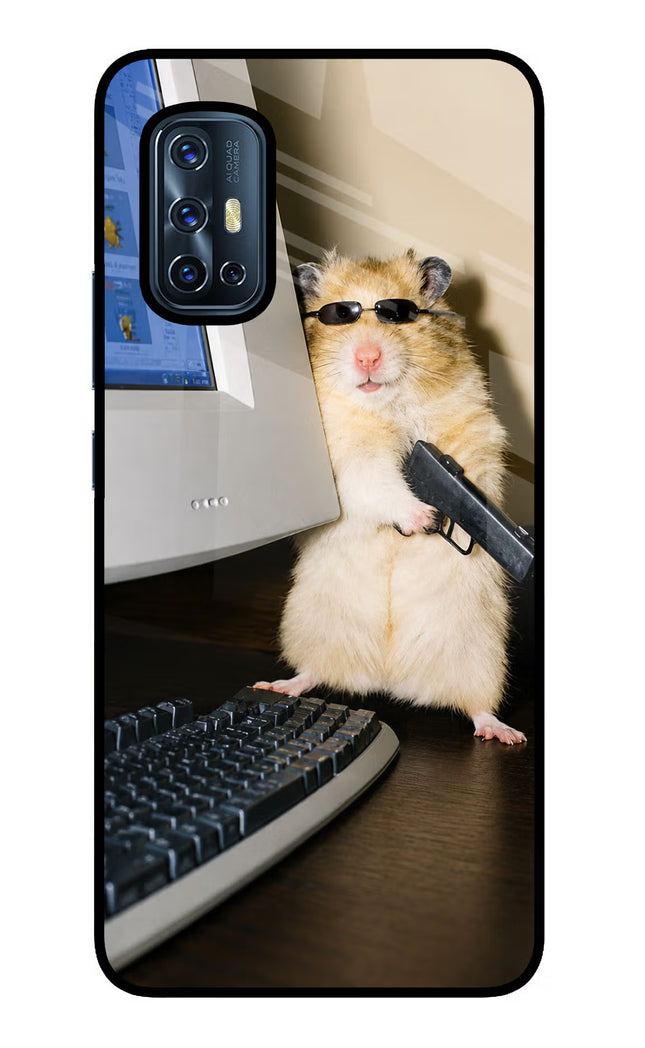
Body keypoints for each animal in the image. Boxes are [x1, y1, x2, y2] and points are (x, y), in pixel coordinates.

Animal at [255, 249, 526, 744]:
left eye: (396, 314)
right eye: (339, 316)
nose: (367, 357)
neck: (386, 404)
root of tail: (388, 678)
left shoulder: (472, 428)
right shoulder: (347, 458)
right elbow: (378, 482)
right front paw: (423, 518)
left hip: (479, 654)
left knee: (477, 705)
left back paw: (504, 733)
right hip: (312, 626)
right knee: (314, 672)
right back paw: (279, 685)